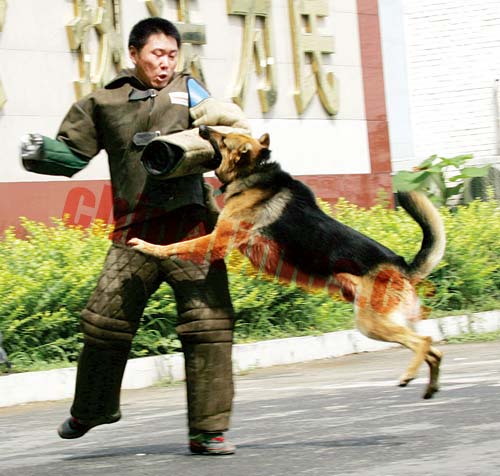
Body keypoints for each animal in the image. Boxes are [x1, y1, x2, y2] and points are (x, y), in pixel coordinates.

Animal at [128, 125, 446, 398]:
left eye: (224, 138)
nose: (202, 128)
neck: (254, 171)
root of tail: (403, 267)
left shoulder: (217, 241)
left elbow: (177, 246)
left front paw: (149, 247)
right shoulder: (220, 228)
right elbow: (210, 209)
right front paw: (206, 191)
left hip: (372, 323)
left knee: (424, 342)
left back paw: (408, 375)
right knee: (436, 351)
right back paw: (430, 387)